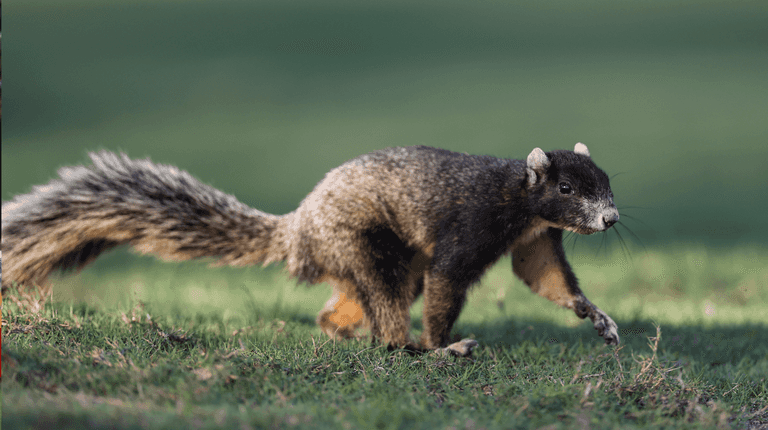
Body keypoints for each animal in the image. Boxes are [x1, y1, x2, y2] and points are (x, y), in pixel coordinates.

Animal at [2, 143, 620, 355]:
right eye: (567, 189)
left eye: (606, 180)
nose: (611, 217)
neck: (521, 201)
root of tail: (297, 230)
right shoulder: (469, 227)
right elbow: (448, 284)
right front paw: (442, 341)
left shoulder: (536, 241)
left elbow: (544, 276)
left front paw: (597, 317)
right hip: (362, 243)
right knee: (388, 308)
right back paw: (415, 349)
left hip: (372, 262)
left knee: (347, 305)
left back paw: (339, 331)